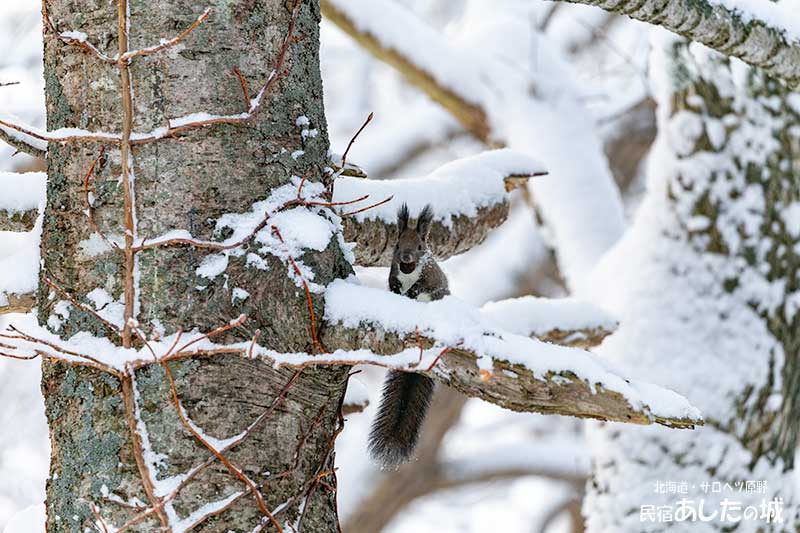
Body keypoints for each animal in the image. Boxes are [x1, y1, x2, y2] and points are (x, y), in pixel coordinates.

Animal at [366, 204, 446, 466]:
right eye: (397, 245)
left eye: (420, 246)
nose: (406, 258)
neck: (409, 272)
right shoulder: (392, 275)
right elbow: (393, 285)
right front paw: (400, 291)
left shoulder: (434, 280)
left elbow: (428, 287)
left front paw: (413, 291)